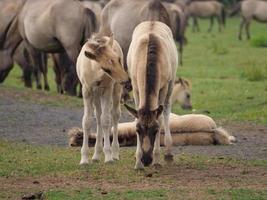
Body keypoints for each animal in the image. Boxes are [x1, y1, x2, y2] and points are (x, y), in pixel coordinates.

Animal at [76, 34, 129, 165]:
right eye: (106, 67)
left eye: (118, 60)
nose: (126, 80)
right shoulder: (87, 90)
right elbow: (87, 121)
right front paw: (84, 159)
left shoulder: (107, 89)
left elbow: (106, 120)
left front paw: (108, 157)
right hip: (96, 95)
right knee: (98, 116)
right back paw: (96, 155)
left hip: (115, 90)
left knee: (114, 115)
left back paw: (114, 153)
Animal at [125, 21, 180, 169]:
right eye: (138, 130)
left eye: (155, 130)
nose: (146, 160)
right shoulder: (136, 87)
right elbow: (136, 117)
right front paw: (137, 162)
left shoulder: (163, 87)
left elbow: (160, 118)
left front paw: (156, 159)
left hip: (171, 83)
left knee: (166, 110)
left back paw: (168, 153)